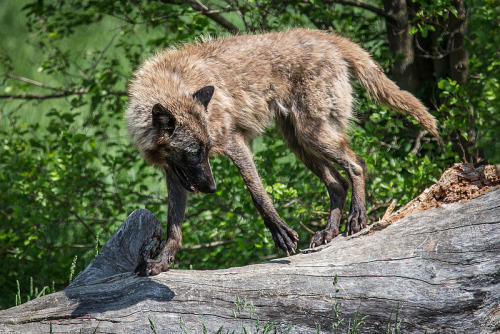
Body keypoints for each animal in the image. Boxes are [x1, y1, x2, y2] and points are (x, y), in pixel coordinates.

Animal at [126, 28, 442, 276]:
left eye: (205, 150)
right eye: (194, 153)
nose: (213, 188)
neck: (171, 83)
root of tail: (326, 37)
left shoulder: (234, 143)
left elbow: (258, 194)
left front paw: (280, 233)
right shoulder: (175, 174)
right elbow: (174, 227)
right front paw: (163, 261)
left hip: (312, 136)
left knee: (357, 164)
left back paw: (357, 218)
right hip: (299, 142)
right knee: (337, 183)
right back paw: (329, 232)